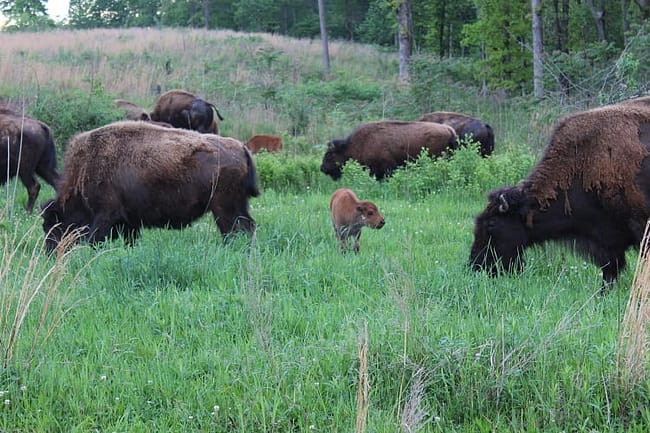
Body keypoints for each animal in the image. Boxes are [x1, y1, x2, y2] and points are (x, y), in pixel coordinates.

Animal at [41, 121, 259, 252]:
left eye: (55, 224)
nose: (49, 253)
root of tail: (241, 148)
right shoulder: (129, 222)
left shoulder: (106, 215)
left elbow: (94, 239)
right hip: (236, 206)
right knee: (247, 226)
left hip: (223, 208)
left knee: (233, 230)